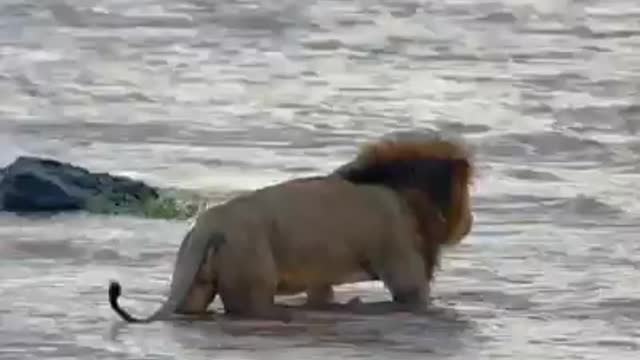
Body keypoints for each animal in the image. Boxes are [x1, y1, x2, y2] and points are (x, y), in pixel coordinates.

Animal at [107, 133, 472, 324]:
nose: (470, 222)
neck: (403, 190)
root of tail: (208, 225)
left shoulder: (321, 277)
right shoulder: (404, 269)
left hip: (195, 286)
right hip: (252, 283)